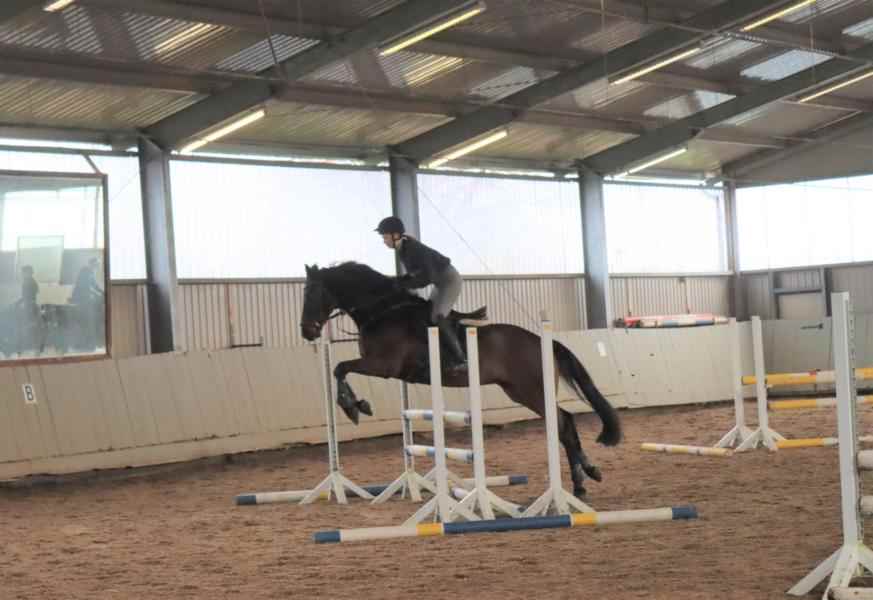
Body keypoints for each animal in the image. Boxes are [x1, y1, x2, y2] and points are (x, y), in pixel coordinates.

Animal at [299, 262, 621, 498]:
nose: (307, 331)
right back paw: (584, 479)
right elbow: (339, 369)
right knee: (564, 422)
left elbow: (340, 368)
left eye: (312, 293)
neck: (382, 312)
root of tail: (543, 341)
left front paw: (353, 407)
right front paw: (356, 406)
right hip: (519, 392)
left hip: (533, 391)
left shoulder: (382, 365)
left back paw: (583, 479)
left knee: (563, 423)